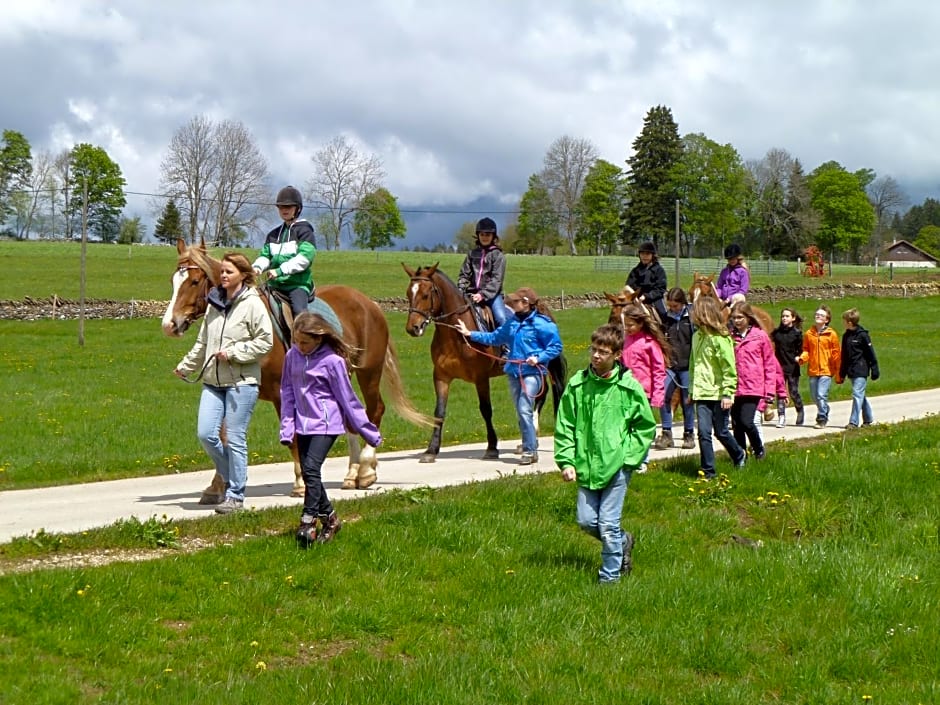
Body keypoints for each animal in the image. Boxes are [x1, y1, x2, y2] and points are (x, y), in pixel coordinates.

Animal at [162, 239, 430, 498]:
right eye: (173, 280)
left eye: (194, 281)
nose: (169, 324)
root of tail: (370, 304)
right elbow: (222, 436)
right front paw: (218, 485)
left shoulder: (282, 393)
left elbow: (292, 438)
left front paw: (301, 484)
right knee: (351, 416)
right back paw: (352, 473)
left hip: (369, 372)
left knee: (375, 411)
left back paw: (365, 471)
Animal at [398, 262, 564, 464]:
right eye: (408, 294)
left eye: (425, 295)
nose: (413, 328)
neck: (455, 335)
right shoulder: (441, 376)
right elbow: (439, 412)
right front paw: (431, 450)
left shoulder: (481, 378)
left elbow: (486, 410)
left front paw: (492, 447)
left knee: (540, 395)